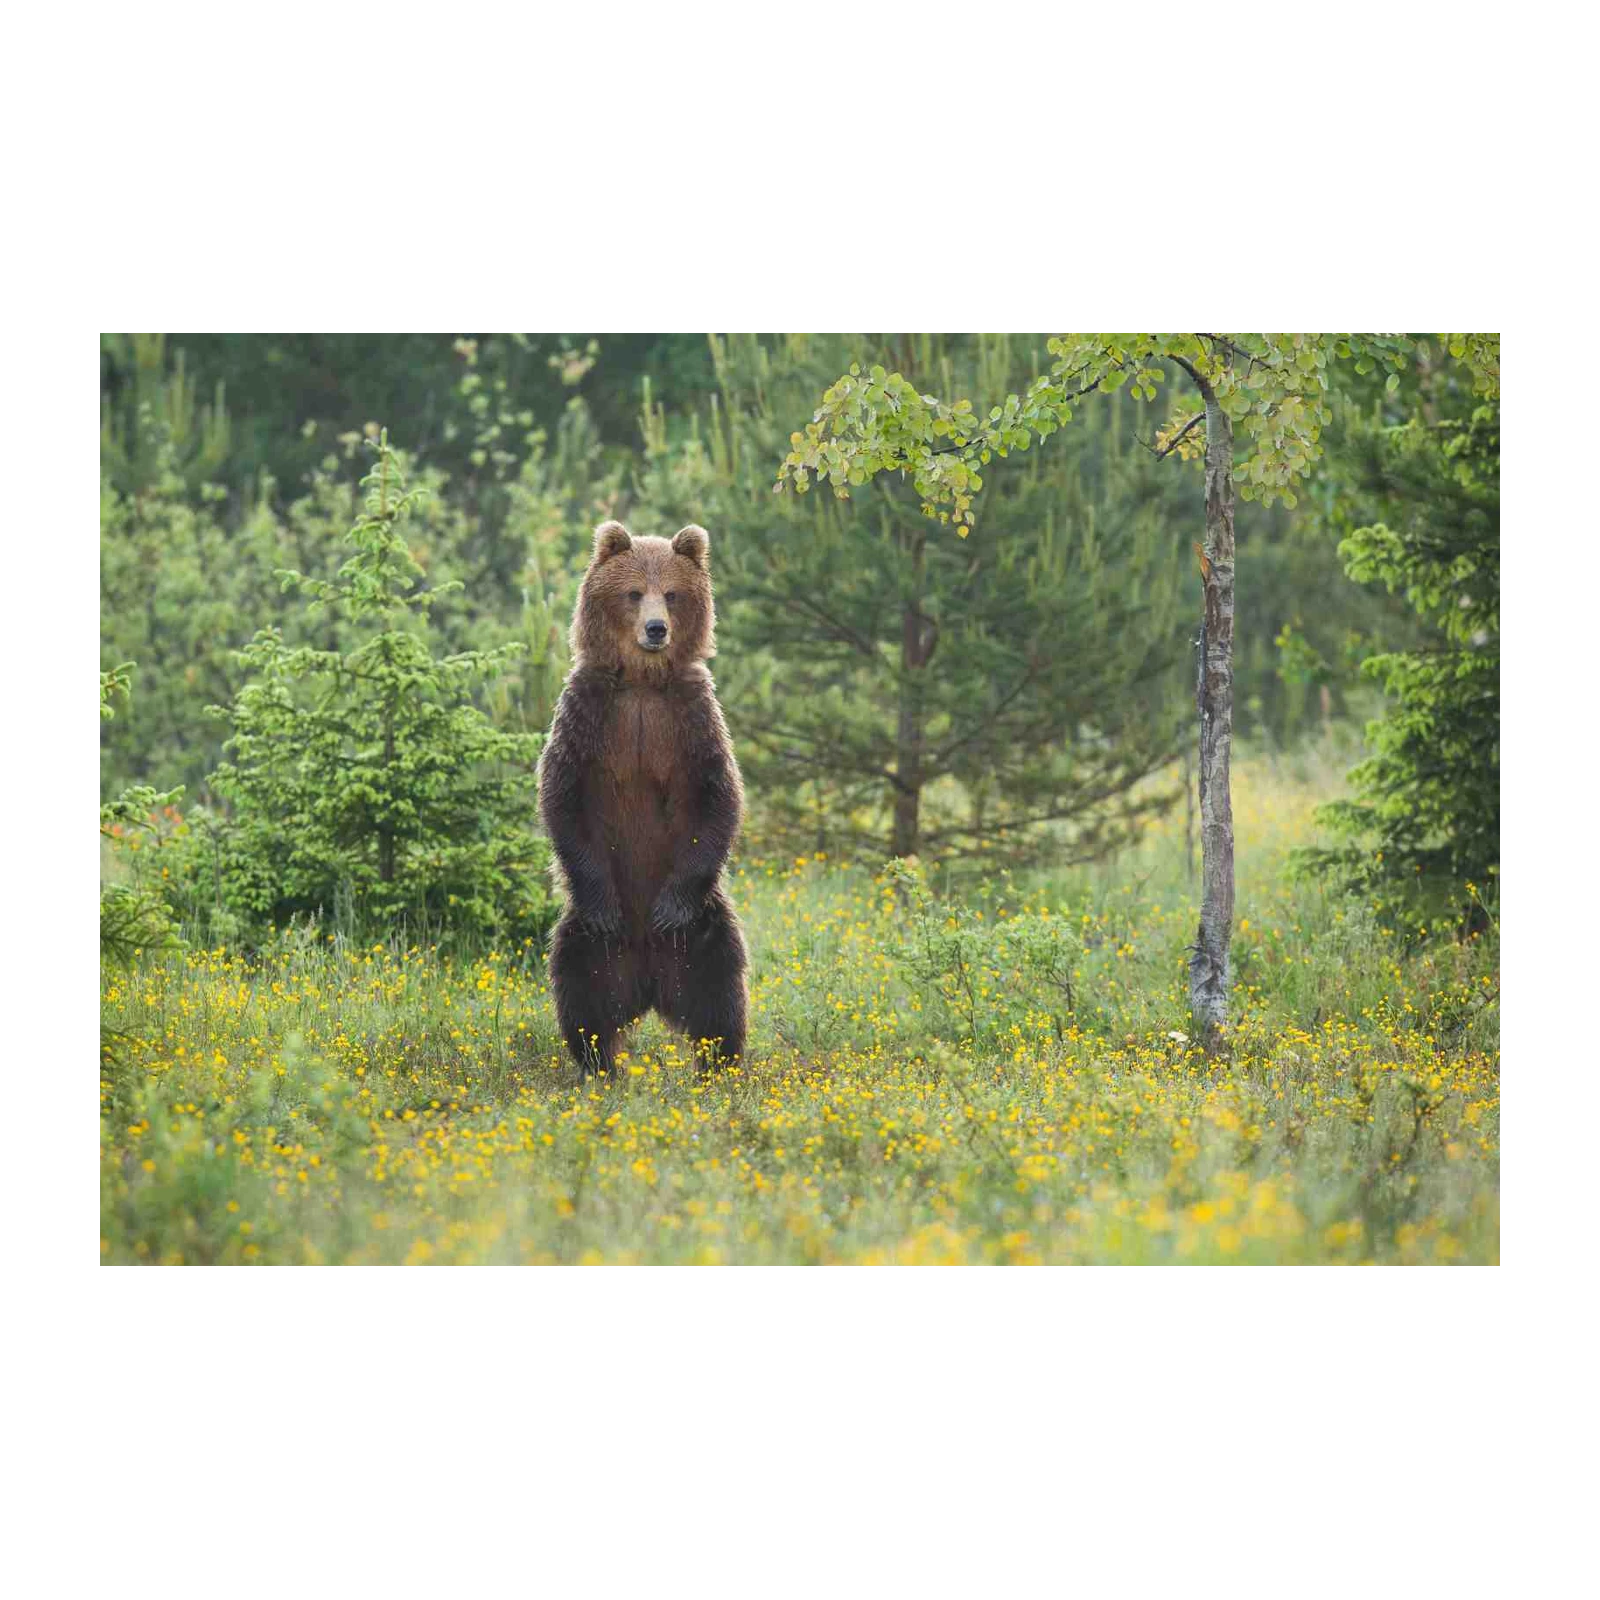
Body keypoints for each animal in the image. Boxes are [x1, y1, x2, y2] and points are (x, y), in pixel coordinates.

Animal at [537, 519, 748, 1076]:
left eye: (672, 594)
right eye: (633, 592)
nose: (656, 629)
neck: (641, 682)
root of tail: (650, 984)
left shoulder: (691, 718)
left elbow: (720, 797)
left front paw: (669, 908)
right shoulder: (588, 713)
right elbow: (560, 795)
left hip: (704, 928)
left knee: (721, 991)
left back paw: (721, 1067)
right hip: (587, 940)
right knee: (581, 993)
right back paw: (599, 1065)